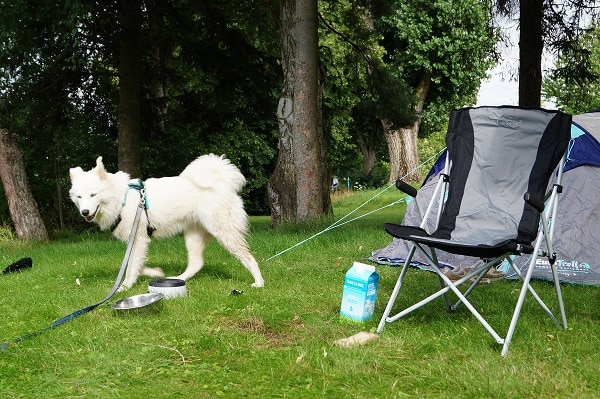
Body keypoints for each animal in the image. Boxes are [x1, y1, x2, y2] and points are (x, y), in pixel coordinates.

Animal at [69, 155, 264, 292]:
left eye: (93, 194)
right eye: (79, 196)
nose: (84, 212)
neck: (121, 198)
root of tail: (222, 182)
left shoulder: (139, 240)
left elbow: (131, 268)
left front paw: (124, 287)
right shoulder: (137, 243)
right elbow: (137, 265)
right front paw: (155, 273)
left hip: (224, 233)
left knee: (249, 257)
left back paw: (259, 283)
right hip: (193, 236)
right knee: (196, 263)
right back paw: (177, 279)